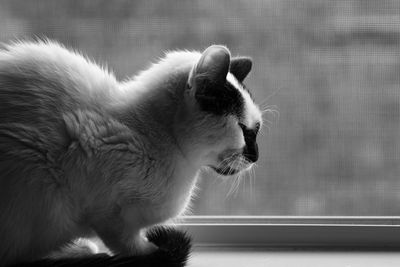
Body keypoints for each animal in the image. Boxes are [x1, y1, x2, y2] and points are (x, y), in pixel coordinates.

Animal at [0, 40, 262, 267]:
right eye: (244, 130)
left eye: (256, 129)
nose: (256, 157)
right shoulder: (107, 211)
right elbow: (128, 244)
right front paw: (152, 252)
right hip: (39, 186)